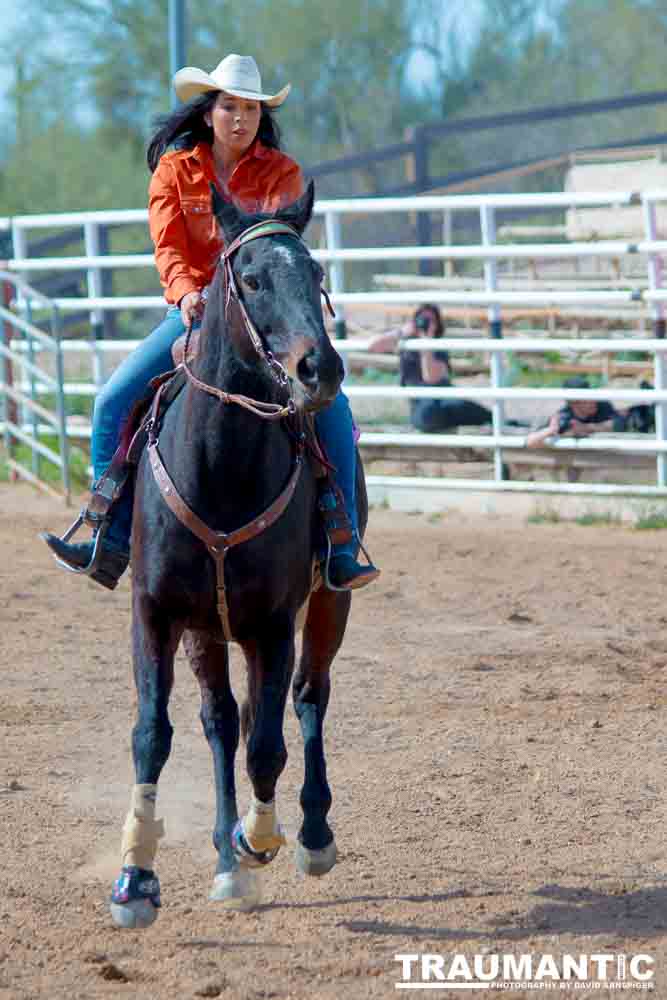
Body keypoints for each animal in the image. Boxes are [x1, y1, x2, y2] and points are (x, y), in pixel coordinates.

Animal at [111, 182, 370, 928]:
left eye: (316, 273)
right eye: (250, 279)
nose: (320, 368)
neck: (218, 465)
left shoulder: (272, 622)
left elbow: (268, 746)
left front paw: (261, 837)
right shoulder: (156, 611)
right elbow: (154, 733)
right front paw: (137, 876)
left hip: (328, 602)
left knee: (307, 700)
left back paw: (306, 836)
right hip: (206, 627)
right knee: (222, 722)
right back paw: (227, 863)